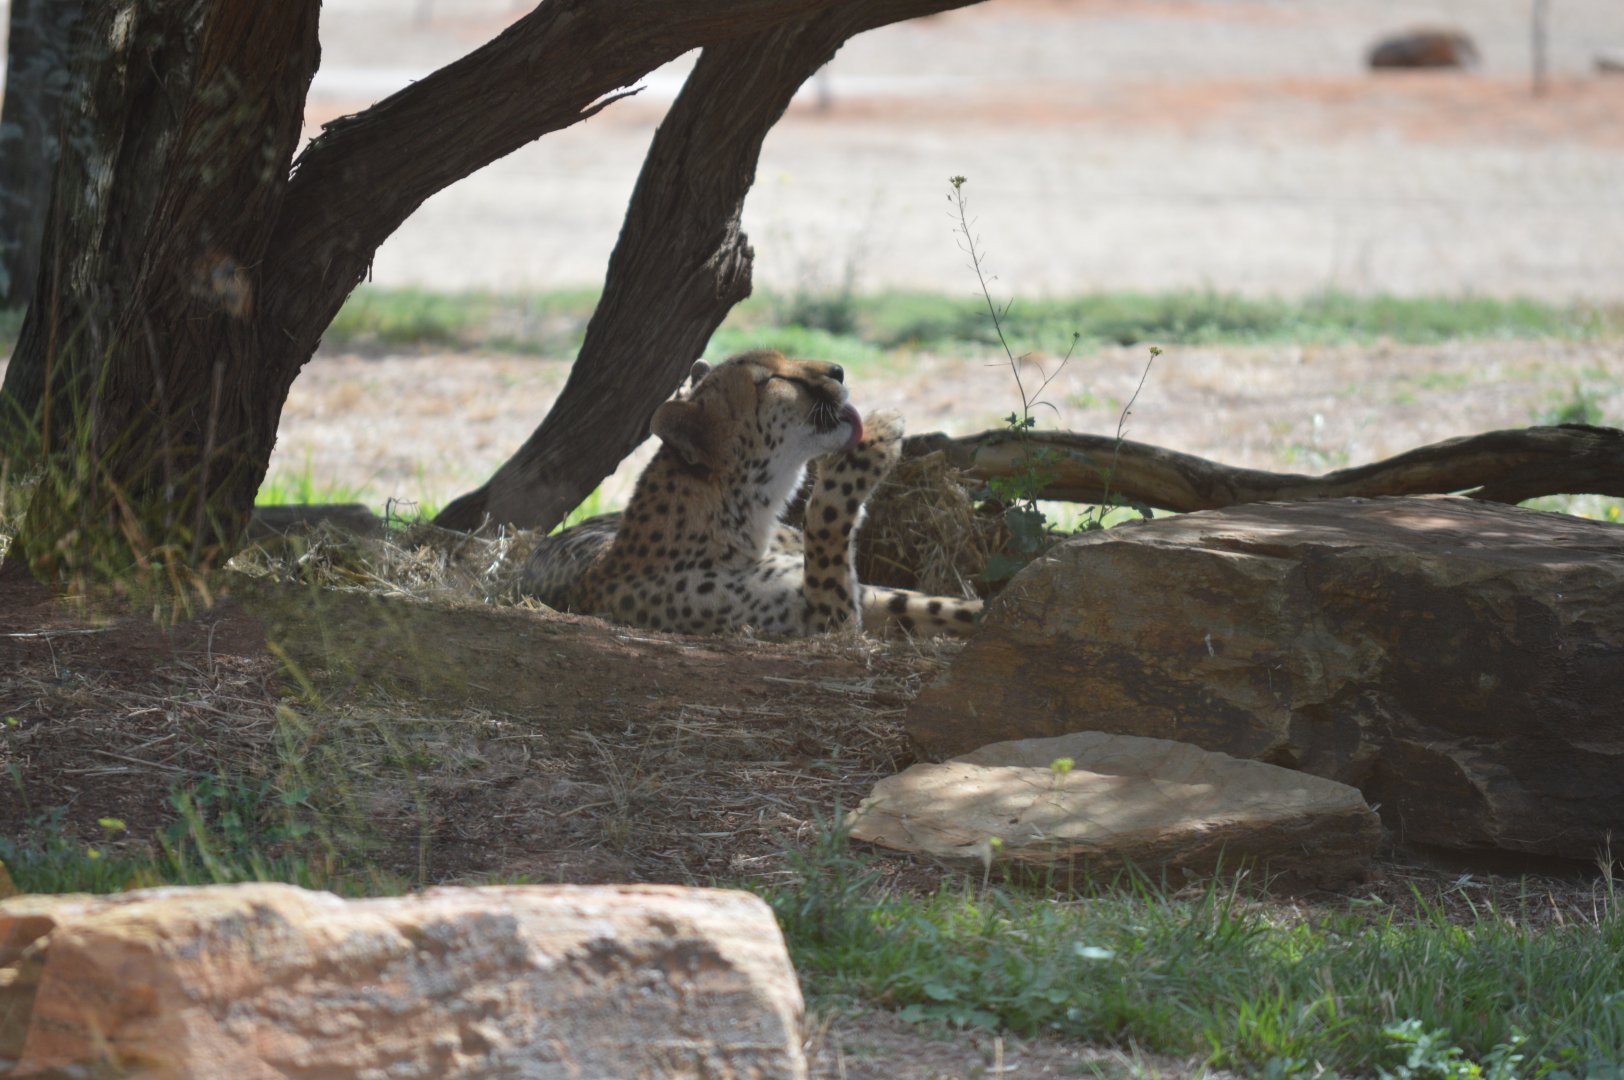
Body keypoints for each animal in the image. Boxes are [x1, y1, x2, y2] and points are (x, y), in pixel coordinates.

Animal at [519, 349, 982, 638]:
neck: (743, 515)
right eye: (772, 379)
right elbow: (827, 512)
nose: (838, 370)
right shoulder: (824, 621)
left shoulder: (865, 598)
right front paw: (879, 434)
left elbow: (939, 607)